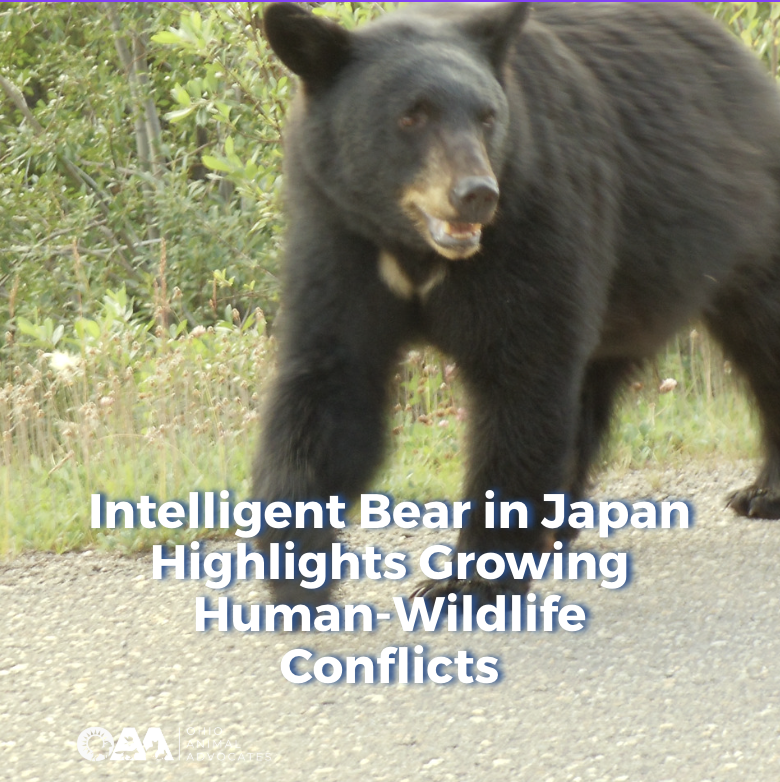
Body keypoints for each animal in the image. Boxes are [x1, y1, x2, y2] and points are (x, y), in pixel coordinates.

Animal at [254, 1, 780, 606]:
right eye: (412, 115)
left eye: (487, 116)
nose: (476, 194)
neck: (414, 249)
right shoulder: (341, 235)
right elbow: (330, 388)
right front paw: (296, 573)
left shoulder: (536, 220)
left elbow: (522, 380)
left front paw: (466, 579)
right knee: (590, 387)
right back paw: (559, 527)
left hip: (739, 231)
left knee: (764, 342)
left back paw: (762, 493)